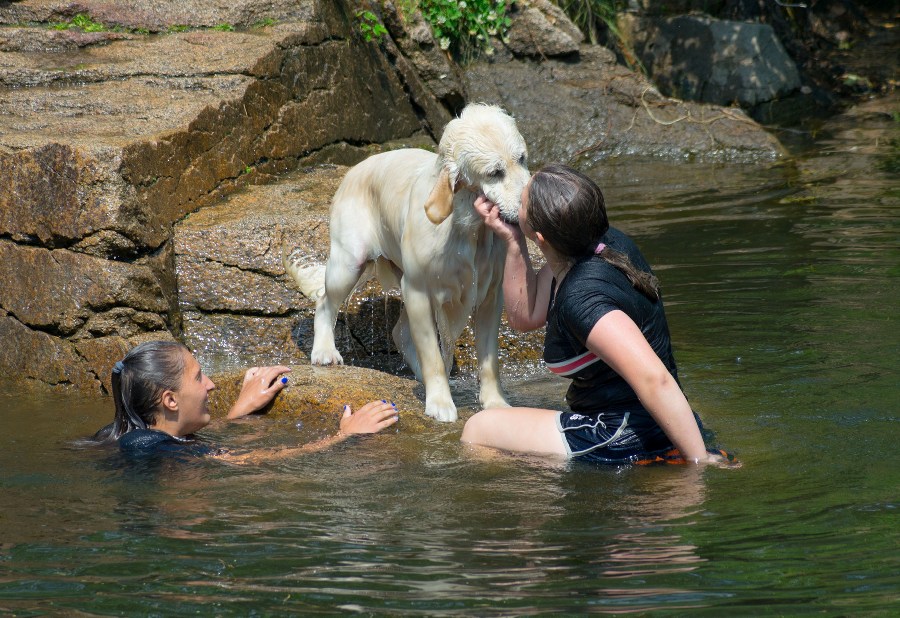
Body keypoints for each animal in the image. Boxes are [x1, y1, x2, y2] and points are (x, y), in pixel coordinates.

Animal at [284, 103, 532, 422]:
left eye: (521, 159)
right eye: (495, 173)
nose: (531, 202)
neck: (467, 225)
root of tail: (354, 169)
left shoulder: (490, 293)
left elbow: (489, 361)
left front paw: (496, 404)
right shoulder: (418, 289)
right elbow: (433, 356)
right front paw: (440, 403)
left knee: (398, 333)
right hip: (349, 260)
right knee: (326, 301)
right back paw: (325, 352)